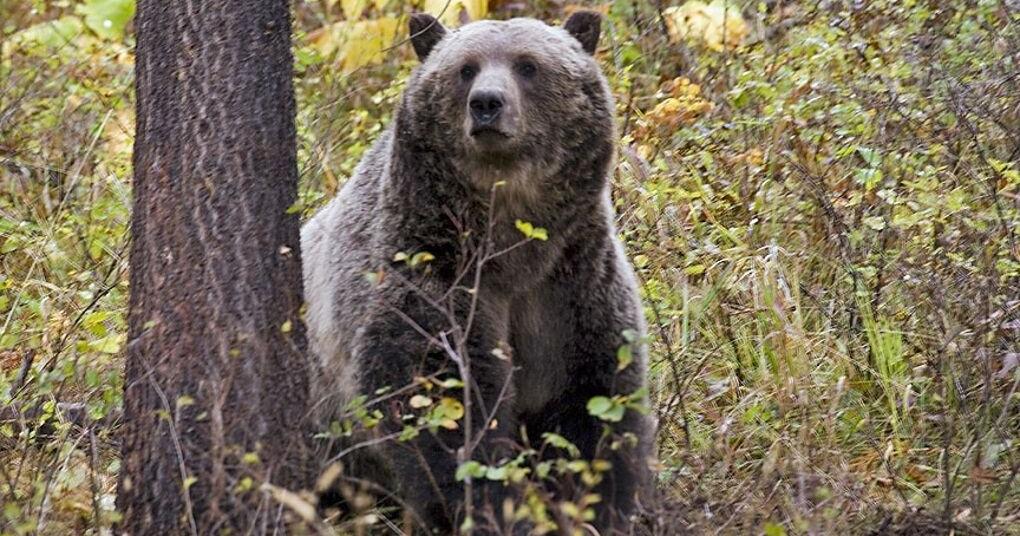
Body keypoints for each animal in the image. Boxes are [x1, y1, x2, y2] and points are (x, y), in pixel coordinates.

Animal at [301, 10, 653, 534]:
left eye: (528, 65)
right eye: (465, 68)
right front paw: (485, 506)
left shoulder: (570, 285)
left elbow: (595, 401)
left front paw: (598, 505)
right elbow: (444, 406)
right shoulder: (431, 272)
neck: (510, 244)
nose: (487, 103)